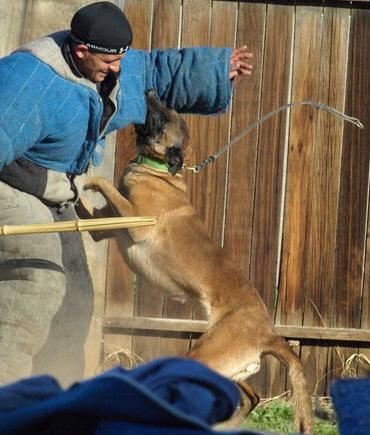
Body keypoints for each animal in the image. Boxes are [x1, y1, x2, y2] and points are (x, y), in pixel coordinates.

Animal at [79, 90, 314, 434]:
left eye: (163, 117)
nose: (151, 91)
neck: (159, 169)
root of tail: (269, 333)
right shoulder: (105, 227)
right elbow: (87, 213)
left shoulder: (136, 223)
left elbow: (107, 188)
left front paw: (90, 181)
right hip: (224, 365)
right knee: (251, 396)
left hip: (205, 354)